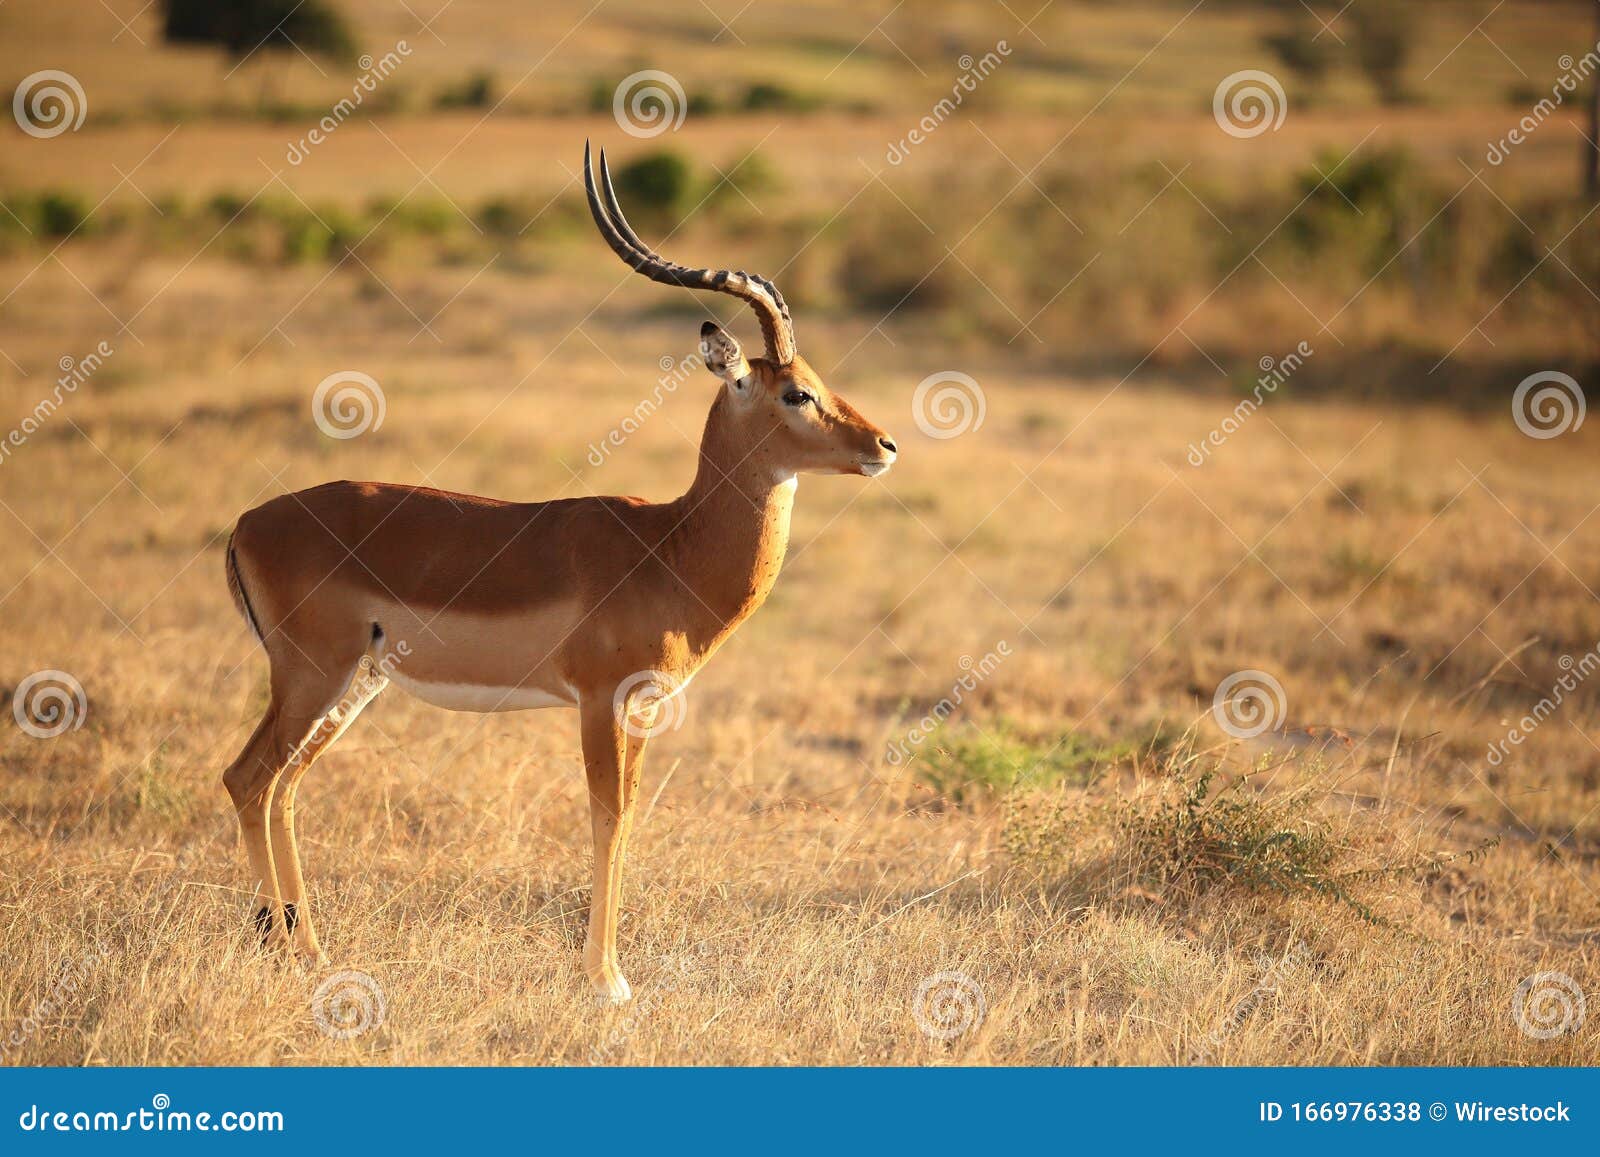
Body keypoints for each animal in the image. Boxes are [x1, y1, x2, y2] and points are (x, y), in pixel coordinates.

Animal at [220, 142, 898, 1003]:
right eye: (796, 391)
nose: (884, 445)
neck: (669, 544)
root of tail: (246, 522)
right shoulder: (599, 700)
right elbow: (605, 819)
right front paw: (606, 981)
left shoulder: (641, 708)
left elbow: (631, 819)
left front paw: (608, 972)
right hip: (312, 675)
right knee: (247, 777)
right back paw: (285, 947)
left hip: (352, 685)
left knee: (284, 786)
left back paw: (307, 948)